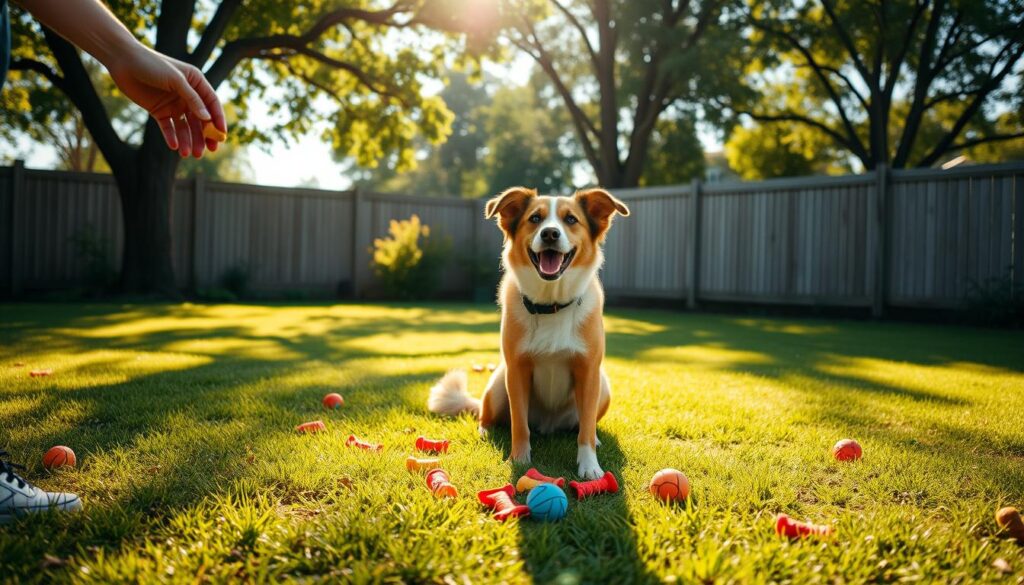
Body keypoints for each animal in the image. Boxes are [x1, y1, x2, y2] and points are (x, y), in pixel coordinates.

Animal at [425, 185, 630, 477]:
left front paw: (589, 465)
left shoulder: (589, 371)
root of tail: (548, 424)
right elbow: (519, 424)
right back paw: (485, 431)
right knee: (489, 415)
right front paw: (519, 460)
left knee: (583, 424)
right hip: (499, 383)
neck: (551, 305)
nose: (550, 233)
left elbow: (586, 431)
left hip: (602, 387)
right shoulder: (517, 370)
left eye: (571, 219)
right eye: (535, 218)